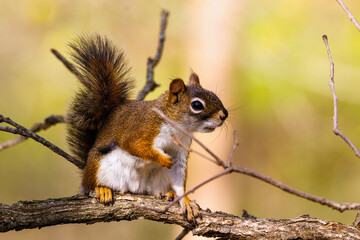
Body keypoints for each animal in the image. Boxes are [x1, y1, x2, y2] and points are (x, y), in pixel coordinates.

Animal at [64, 33, 228, 221]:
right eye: (197, 105)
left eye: (213, 94)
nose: (224, 115)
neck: (177, 127)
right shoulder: (142, 128)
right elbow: (134, 145)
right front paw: (161, 158)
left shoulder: (180, 150)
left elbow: (179, 176)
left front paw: (185, 200)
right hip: (99, 167)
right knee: (89, 187)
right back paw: (101, 189)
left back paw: (167, 194)